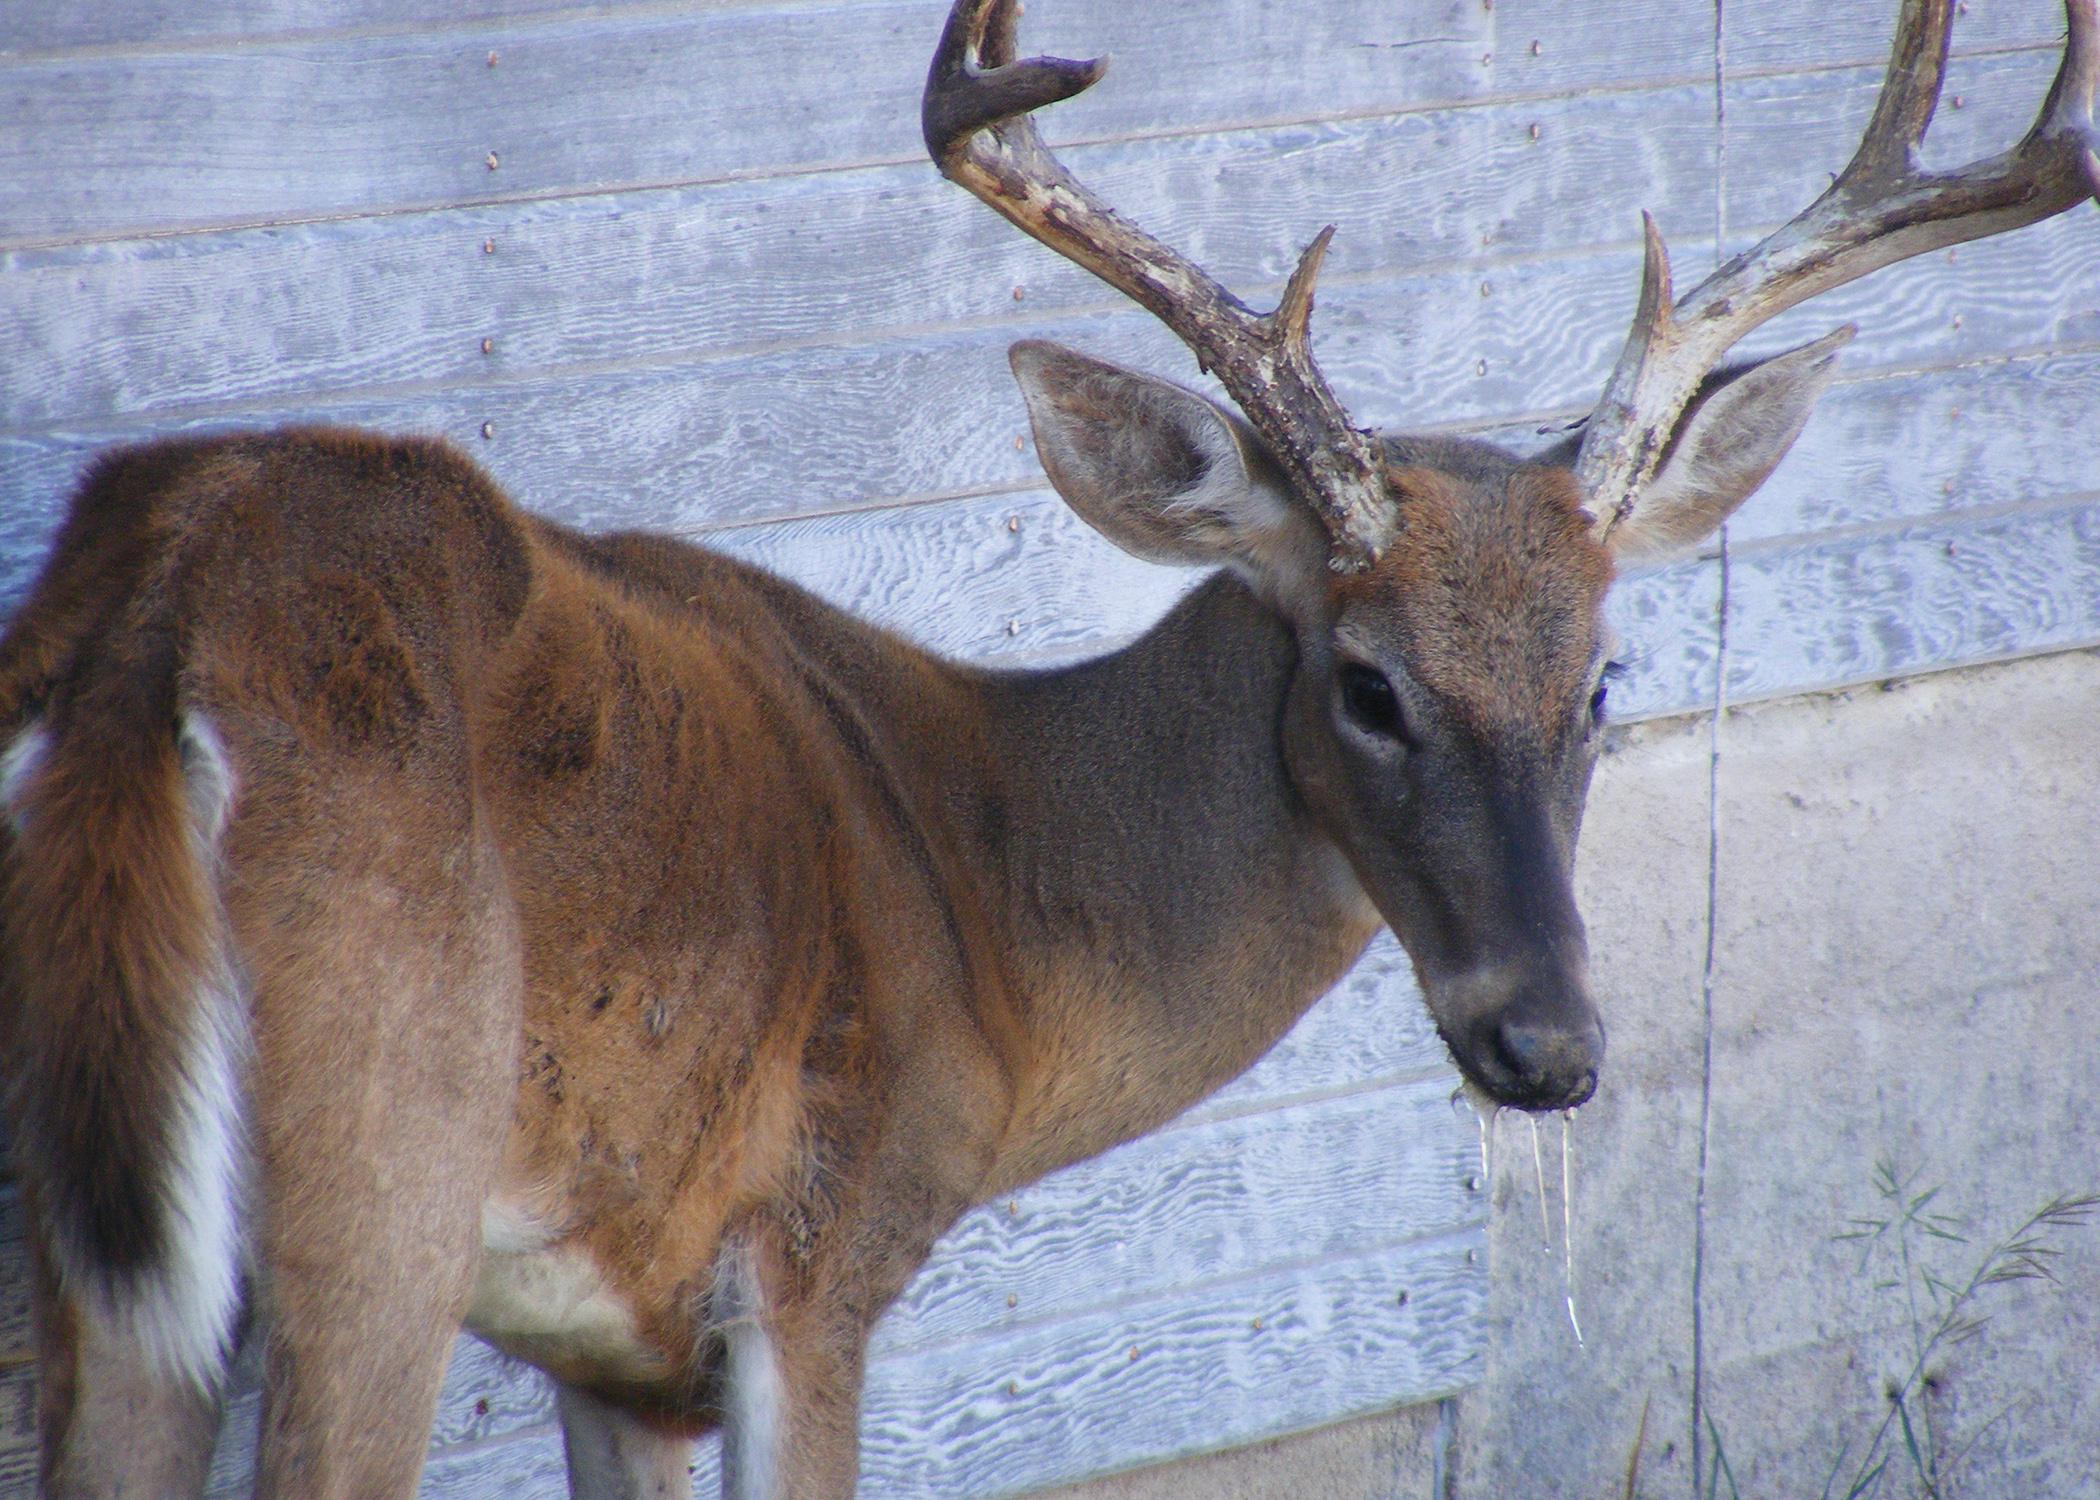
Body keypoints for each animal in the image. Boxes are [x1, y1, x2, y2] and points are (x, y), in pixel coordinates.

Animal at [0, 0, 2091, 1487]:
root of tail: (165, 612)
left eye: (1603, 677)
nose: (1550, 1047)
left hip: (116, 1252)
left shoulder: (628, 1347)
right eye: (1368, 682)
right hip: (381, 1178)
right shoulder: (814, 1260)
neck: (988, 907)